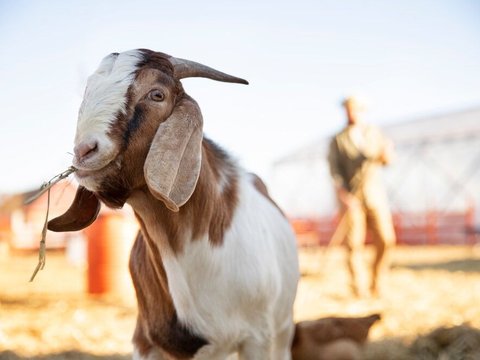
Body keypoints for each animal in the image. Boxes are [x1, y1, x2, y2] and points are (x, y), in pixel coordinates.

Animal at [47, 49, 298, 358]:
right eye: (88, 91)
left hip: (282, 329)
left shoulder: (257, 337)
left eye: (157, 94)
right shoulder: (145, 340)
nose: (84, 151)